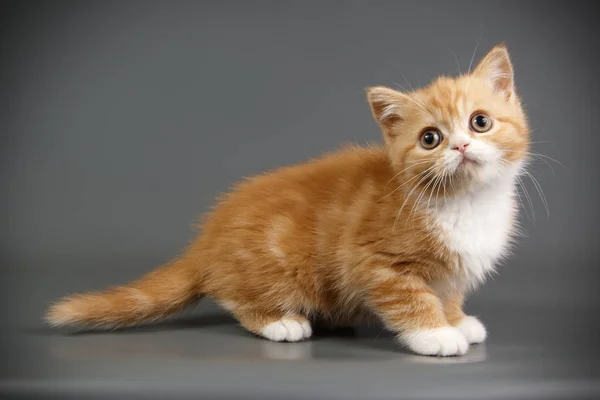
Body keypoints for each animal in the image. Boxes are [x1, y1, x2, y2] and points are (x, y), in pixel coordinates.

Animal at [44, 44, 528, 356]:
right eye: (430, 139)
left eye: (480, 122)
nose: (461, 146)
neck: (466, 202)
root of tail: (206, 241)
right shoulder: (376, 261)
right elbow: (410, 297)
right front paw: (435, 334)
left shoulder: (454, 269)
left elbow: (448, 293)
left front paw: (456, 319)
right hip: (275, 268)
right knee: (236, 296)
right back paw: (280, 321)